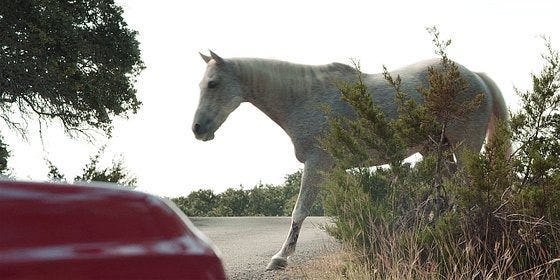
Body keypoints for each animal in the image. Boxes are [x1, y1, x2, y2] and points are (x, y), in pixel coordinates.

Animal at [192, 51, 508, 270]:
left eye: (213, 84)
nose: (197, 129)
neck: (304, 97)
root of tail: (476, 75)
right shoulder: (335, 170)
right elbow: (349, 208)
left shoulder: (316, 164)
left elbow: (299, 211)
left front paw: (280, 258)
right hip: (436, 150)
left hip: (465, 147)